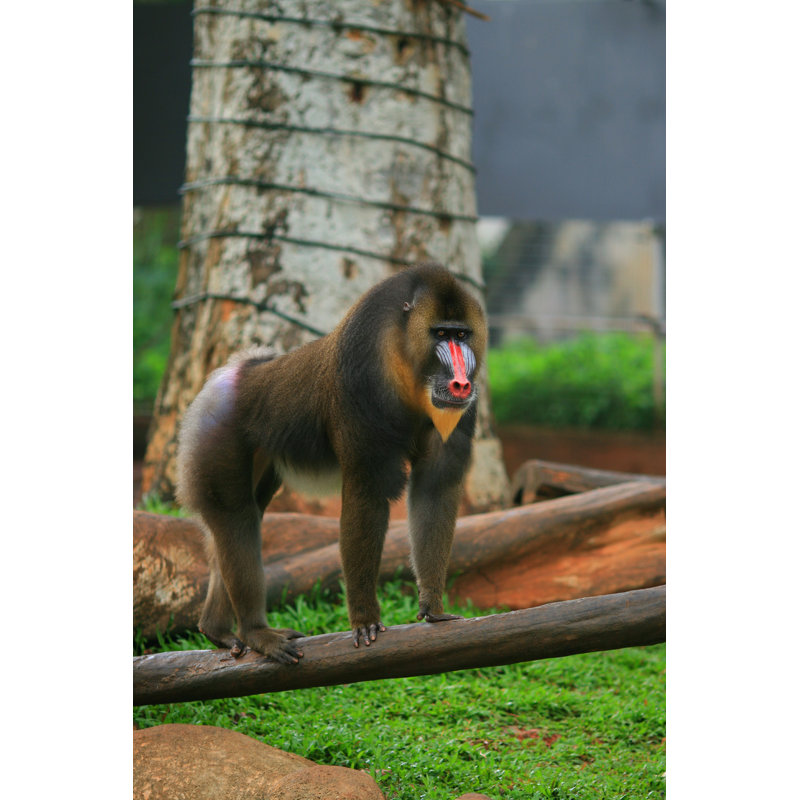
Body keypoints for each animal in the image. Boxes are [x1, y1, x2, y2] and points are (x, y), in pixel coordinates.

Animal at [176, 263, 487, 664]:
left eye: (461, 334)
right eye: (441, 334)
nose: (462, 382)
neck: (405, 362)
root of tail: (235, 374)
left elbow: (434, 490)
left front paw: (433, 608)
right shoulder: (361, 393)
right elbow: (366, 499)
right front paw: (365, 620)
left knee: (239, 523)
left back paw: (217, 629)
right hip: (216, 440)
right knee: (236, 521)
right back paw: (256, 632)